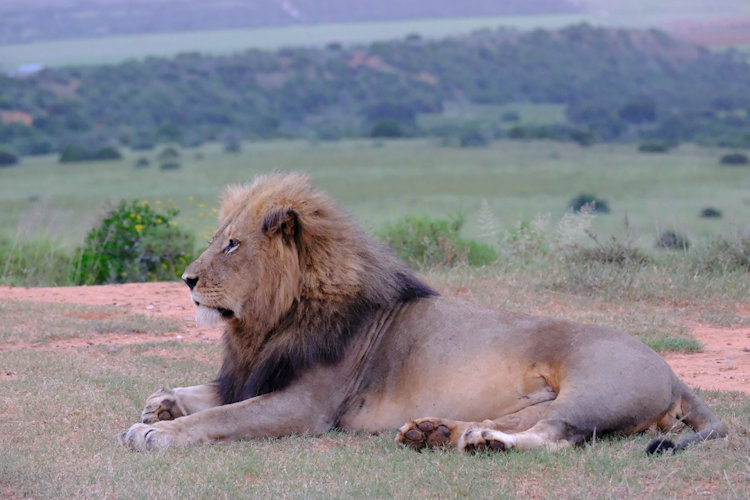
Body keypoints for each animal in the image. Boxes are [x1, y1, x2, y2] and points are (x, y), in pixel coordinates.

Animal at [119, 172, 727, 455]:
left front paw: (154, 430)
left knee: (554, 435)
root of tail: (674, 373)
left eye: (232, 245)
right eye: (217, 239)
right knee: (522, 421)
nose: (186, 281)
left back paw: (482, 444)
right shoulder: (254, 372)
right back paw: (435, 432)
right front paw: (161, 404)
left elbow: (221, 418)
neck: (267, 323)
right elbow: (209, 394)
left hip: (595, 388)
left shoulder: (306, 404)